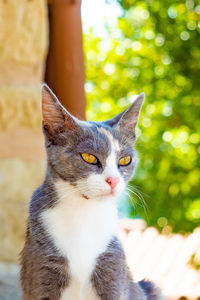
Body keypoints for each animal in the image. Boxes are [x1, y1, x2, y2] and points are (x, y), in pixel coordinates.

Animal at [20, 84, 164, 300]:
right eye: (89, 157)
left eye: (125, 160)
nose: (113, 180)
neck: (84, 212)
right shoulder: (42, 268)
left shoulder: (112, 268)